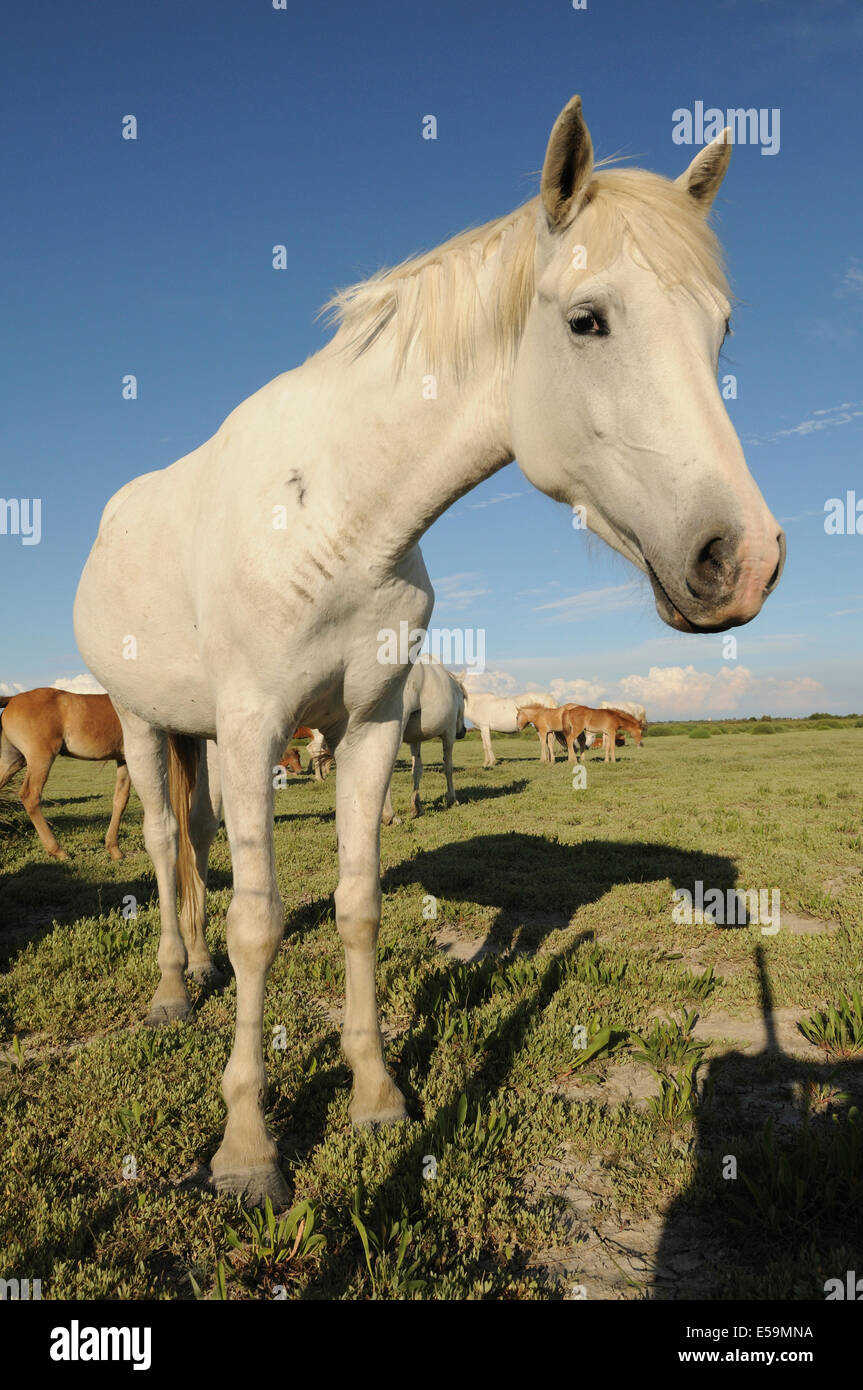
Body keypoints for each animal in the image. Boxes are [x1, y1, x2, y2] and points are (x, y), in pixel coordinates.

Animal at [0, 688, 130, 861]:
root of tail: (13, 698)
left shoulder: (124, 760)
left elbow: (120, 799)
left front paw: (114, 848)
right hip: (41, 759)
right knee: (30, 796)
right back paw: (57, 850)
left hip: (12, 760)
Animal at [382, 659, 466, 823]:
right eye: (465, 698)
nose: (463, 732)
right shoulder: (449, 734)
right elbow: (448, 767)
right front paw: (452, 799)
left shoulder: (415, 740)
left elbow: (417, 771)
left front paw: (417, 806)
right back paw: (390, 815)